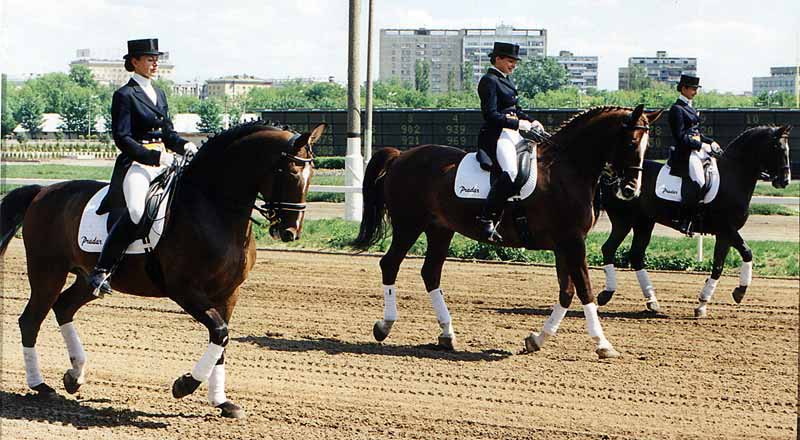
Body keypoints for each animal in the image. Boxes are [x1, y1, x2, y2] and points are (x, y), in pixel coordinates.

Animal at [0, 120, 324, 420]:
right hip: (47, 271)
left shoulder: (229, 293)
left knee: (64, 307)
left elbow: (222, 339)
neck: (214, 210)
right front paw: (184, 385)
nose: (289, 232)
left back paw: (74, 376)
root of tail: (43, 190)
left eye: (312, 174)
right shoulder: (185, 290)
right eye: (292, 172)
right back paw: (41, 386)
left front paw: (222, 402)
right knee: (31, 320)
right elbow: (219, 332)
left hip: (86, 278)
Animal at [354, 105, 664, 358]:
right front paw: (603, 344)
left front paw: (536, 340)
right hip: (409, 224)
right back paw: (385, 326)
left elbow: (566, 291)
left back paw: (447, 335)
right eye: (631, 141)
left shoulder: (564, 244)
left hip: (439, 229)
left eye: (648, 145)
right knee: (390, 264)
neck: (568, 170)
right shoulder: (573, 241)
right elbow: (584, 289)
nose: (631, 190)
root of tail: (401, 155)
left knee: (430, 273)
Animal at [596, 124, 792, 316]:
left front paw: (702, 304)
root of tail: (612, 175)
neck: (732, 178)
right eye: (777, 147)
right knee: (608, 249)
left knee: (636, 255)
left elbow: (718, 266)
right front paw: (740, 291)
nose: (785, 181)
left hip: (644, 223)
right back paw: (606, 294)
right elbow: (747, 252)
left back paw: (652, 301)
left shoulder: (725, 235)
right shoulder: (727, 228)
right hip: (623, 221)